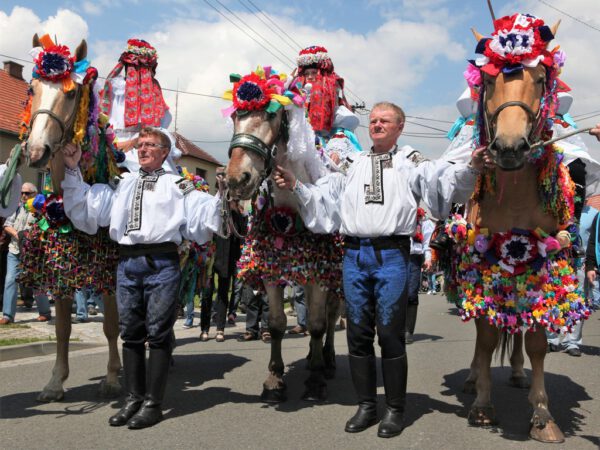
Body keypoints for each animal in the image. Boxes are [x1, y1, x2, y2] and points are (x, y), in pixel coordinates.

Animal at [21, 34, 122, 400]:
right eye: (32, 87)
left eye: (69, 93)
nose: (37, 151)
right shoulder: (61, 263)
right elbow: (63, 328)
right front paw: (55, 381)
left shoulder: (109, 267)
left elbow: (110, 325)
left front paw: (112, 378)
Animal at [224, 66, 342, 400]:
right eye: (235, 115)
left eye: (272, 115)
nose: (237, 179)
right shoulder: (271, 269)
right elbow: (276, 324)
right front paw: (274, 379)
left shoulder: (319, 271)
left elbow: (316, 324)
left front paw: (315, 380)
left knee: (330, 317)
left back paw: (327, 361)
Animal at [446, 14, 592, 442]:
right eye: (488, 80)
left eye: (542, 78)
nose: (510, 148)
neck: (513, 193)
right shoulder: (483, 259)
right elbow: (486, 335)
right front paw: (482, 404)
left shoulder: (543, 259)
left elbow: (538, 342)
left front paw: (542, 415)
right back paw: (473, 378)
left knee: (518, 328)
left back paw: (515, 372)